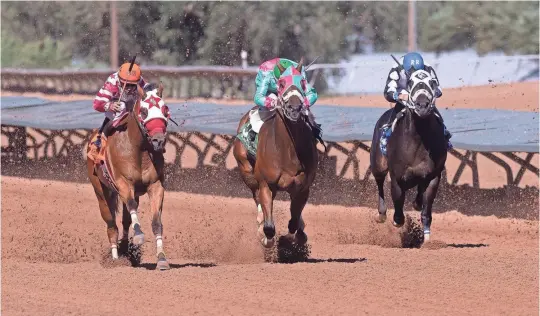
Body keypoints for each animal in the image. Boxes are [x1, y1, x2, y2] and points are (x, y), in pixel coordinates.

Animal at [86, 82, 172, 270]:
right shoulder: (123, 183)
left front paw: (162, 259)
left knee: (125, 221)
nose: (158, 140)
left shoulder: (155, 185)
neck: (139, 151)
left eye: (165, 109)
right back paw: (115, 259)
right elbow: (131, 205)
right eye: (144, 111)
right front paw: (139, 235)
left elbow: (157, 222)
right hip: (100, 190)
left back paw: (125, 250)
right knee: (111, 224)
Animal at [233, 58, 318, 247]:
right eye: (281, 84)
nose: (295, 107)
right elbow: (269, 227)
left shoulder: (302, 188)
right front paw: (265, 236)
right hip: (247, 171)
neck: (288, 151)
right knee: (256, 196)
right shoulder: (266, 184)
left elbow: (294, 222)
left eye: (302, 82)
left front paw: (293, 237)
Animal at [372, 69, 448, 242]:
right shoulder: (397, 177)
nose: (422, 105)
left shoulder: (433, 176)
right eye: (410, 82)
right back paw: (381, 214)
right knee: (379, 182)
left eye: (432, 82)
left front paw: (427, 239)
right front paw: (397, 221)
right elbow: (398, 206)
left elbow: (426, 209)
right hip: (378, 164)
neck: (419, 140)